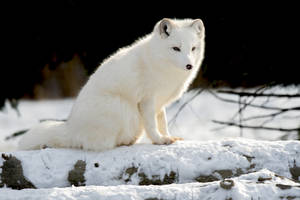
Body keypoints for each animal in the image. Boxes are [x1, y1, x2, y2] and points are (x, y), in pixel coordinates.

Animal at [17, 18, 205, 151]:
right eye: (176, 48)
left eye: (193, 48)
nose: (189, 65)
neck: (160, 63)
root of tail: (71, 127)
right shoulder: (147, 100)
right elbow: (152, 125)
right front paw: (159, 140)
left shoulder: (160, 103)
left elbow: (163, 123)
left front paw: (168, 137)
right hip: (122, 107)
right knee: (97, 145)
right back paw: (123, 143)